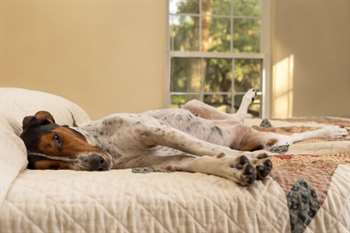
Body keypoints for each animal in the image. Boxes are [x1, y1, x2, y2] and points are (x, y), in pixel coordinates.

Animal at [19, 89, 348, 186]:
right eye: (52, 166)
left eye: (57, 138)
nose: (98, 164)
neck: (109, 146)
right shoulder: (163, 162)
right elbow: (203, 159)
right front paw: (237, 166)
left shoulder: (155, 130)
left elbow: (205, 146)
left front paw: (250, 160)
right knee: (266, 132)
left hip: (193, 105)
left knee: (292, 133)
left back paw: (333, 130)